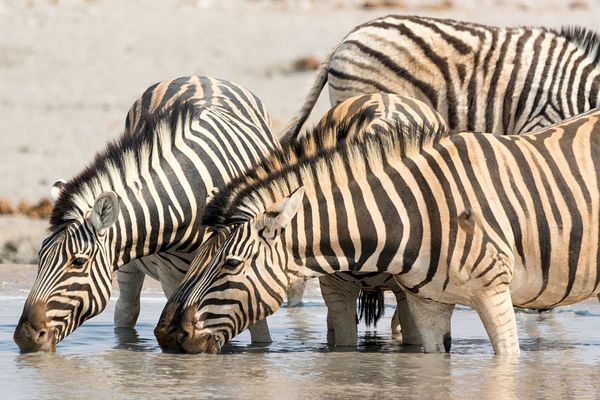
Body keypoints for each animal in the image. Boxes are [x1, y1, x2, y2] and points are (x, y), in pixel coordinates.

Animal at [13, 76, 282, 352]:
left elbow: (259, 333)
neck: (193, 198)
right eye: (40, 256)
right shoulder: (171, 278)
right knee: (126, 311)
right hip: (130, 267)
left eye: (78, 261)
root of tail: (198, 76)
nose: (25, 337)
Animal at [151, 104, 600, 354]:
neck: (417, 211)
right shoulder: (428, 303)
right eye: (197, 258)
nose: (168, 336)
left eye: (230, 265)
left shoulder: (494, 293)